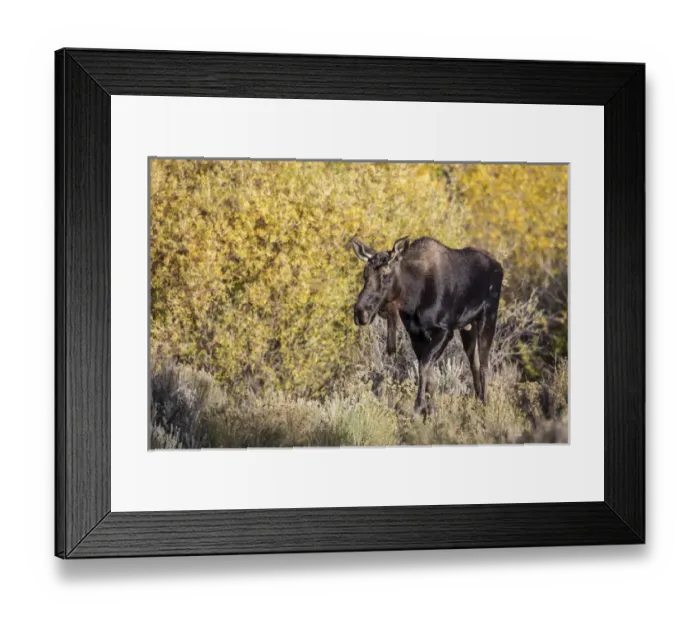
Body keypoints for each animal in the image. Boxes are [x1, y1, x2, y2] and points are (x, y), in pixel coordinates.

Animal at [351, 235, 503, 417]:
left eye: (385, 275)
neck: (412, 297)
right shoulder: (415, 333)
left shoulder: (445, 330)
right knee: (474, 364)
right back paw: (477, 402)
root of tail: (499, 266)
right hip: (467, 327)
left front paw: (419, 407)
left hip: (488, 317)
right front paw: (430, 411)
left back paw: (485, 407)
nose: (360, 313)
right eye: (365, 274)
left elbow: (424, 366)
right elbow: (429, 373)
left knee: (485, 366)